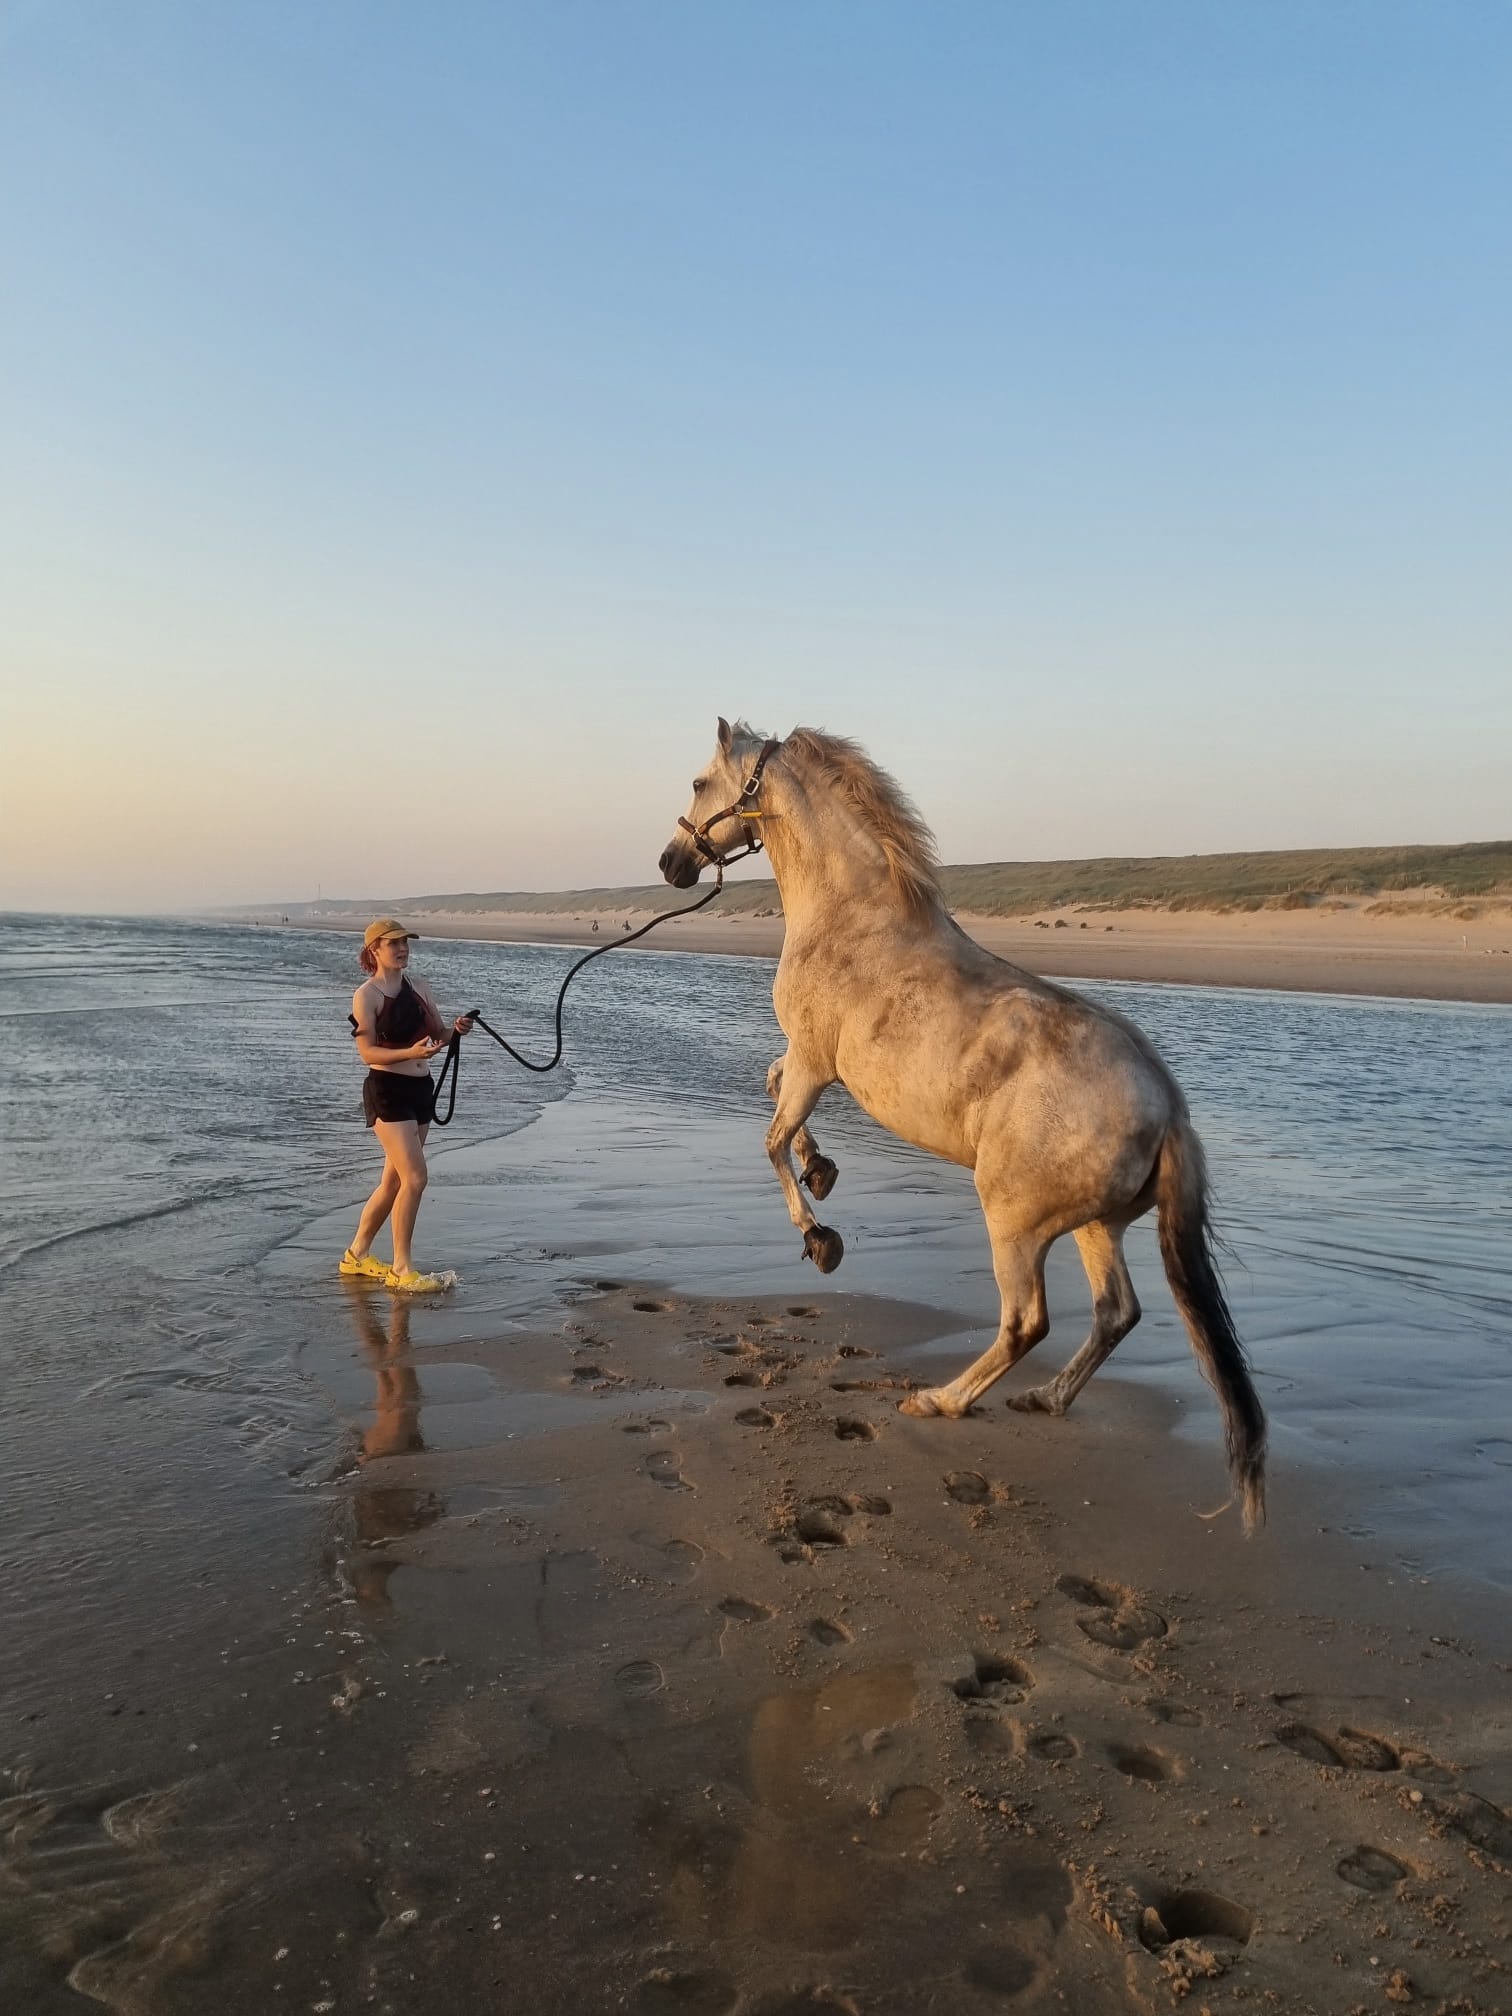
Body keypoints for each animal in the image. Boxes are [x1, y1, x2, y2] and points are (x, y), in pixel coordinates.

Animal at [659, 719, 1267, 1530]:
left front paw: (821, 1239)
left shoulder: (817, 1060)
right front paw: (823, 1170)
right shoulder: (812, 1063)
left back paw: (940, 1399)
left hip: (1014, 1220)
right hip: (1095, 1226)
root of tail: (1168, 1110)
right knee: (1116, 1314)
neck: (851, 915)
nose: (670, 863)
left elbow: (772, 1136)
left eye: (699, 783)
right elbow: (773, 1091)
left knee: (1026, 1322)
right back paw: (1043, 1399)